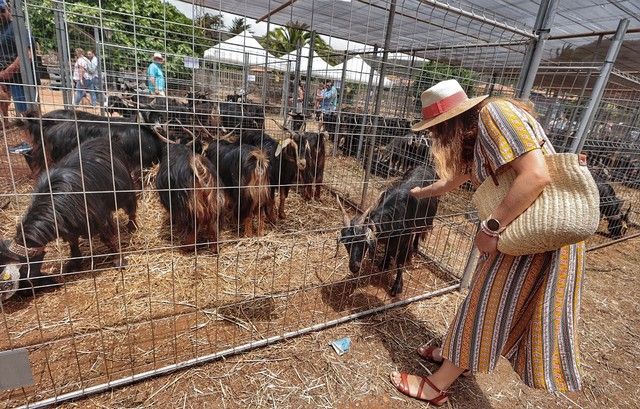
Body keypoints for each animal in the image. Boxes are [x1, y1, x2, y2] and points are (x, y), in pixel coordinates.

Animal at [0, 137, 136, 300]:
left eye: (23, 269)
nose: (26, 292)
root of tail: (103, 139)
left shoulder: (99, 220)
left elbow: (108, 239)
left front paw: (119, 260)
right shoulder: (69, 227)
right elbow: (73, 243)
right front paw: (74, 264)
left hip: (125, 191)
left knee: (131, 207)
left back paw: (132, 227)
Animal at [338, 164, 438, 294]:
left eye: (364, 243)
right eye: (346, 243)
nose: (354, 267)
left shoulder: (405, 238)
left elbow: (400, 262)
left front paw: (397, 286)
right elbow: (388, 249)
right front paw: (384, 263)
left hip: (426, 220)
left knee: (419, 232)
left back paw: (415, 250)